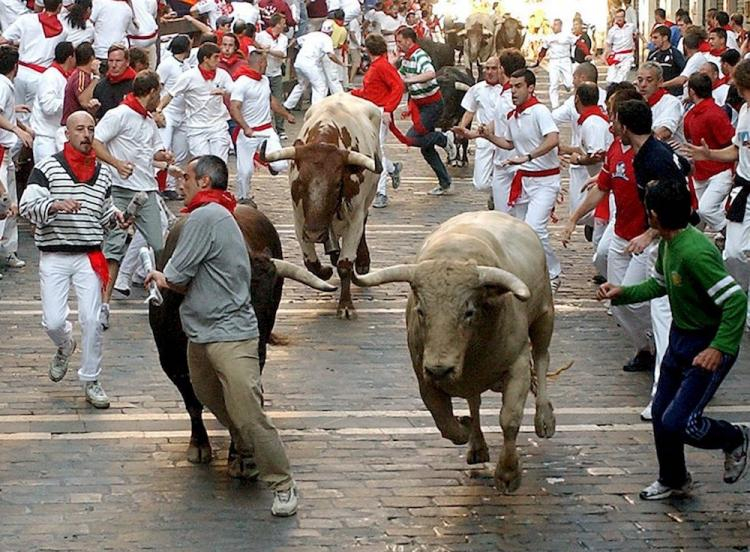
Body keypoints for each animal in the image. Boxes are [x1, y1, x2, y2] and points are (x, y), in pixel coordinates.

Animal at [354, 211, 560, 492]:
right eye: (421, 310)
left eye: (469, 311)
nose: (440, 369)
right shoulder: (424, 377)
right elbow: (445, 423)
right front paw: (465, 426)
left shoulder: (517, 365)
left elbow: (509, 419)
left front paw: (508, 473)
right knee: (474, 400)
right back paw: (478, 445)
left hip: (544, 318)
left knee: (541, 357)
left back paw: (544, 419)